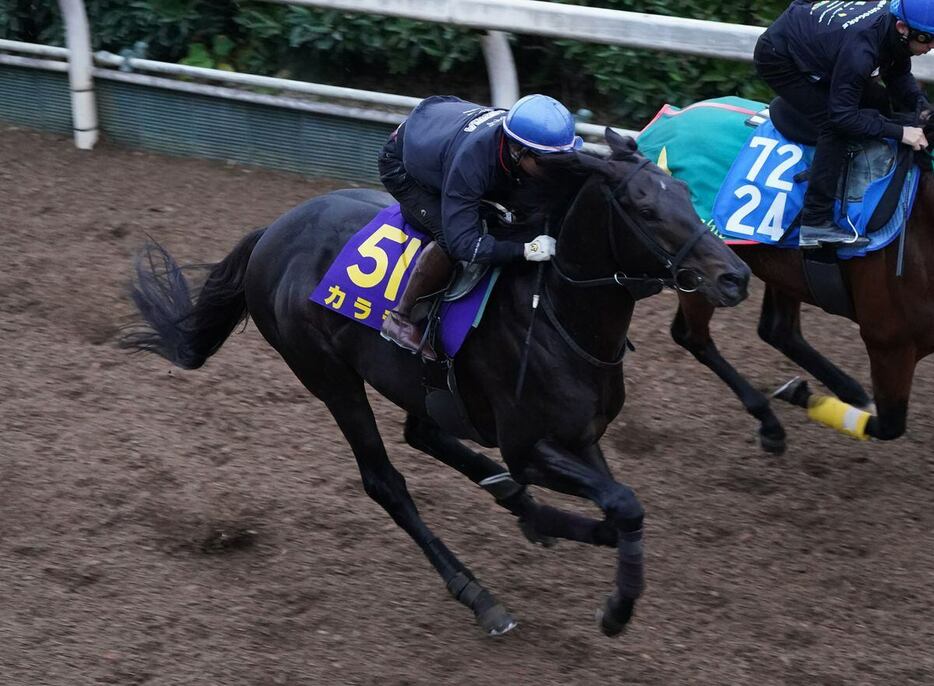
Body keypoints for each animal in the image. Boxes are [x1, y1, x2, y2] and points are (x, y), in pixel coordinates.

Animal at [124, 130, 752, 640]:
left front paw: (575, 543)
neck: (555, 314)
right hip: (329, 377)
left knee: (423, 432)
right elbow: (623, 504)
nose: (735, 276)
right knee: (386, 481)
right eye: (645, 207)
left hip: (418, 383)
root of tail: (273, 232)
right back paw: (478, 593)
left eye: (687, 194)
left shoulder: (580, 435)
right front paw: (617, 608)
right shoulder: (528, 445)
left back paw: (519, 507)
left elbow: (622, 508)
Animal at [672, 163, 934, 454]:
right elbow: (890, 427)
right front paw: (801, 395)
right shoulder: (888, 343)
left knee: (777, 330)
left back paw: (851, 394)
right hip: (703, 270)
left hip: (778, 270)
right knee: (693, 338)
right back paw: (771, 422)